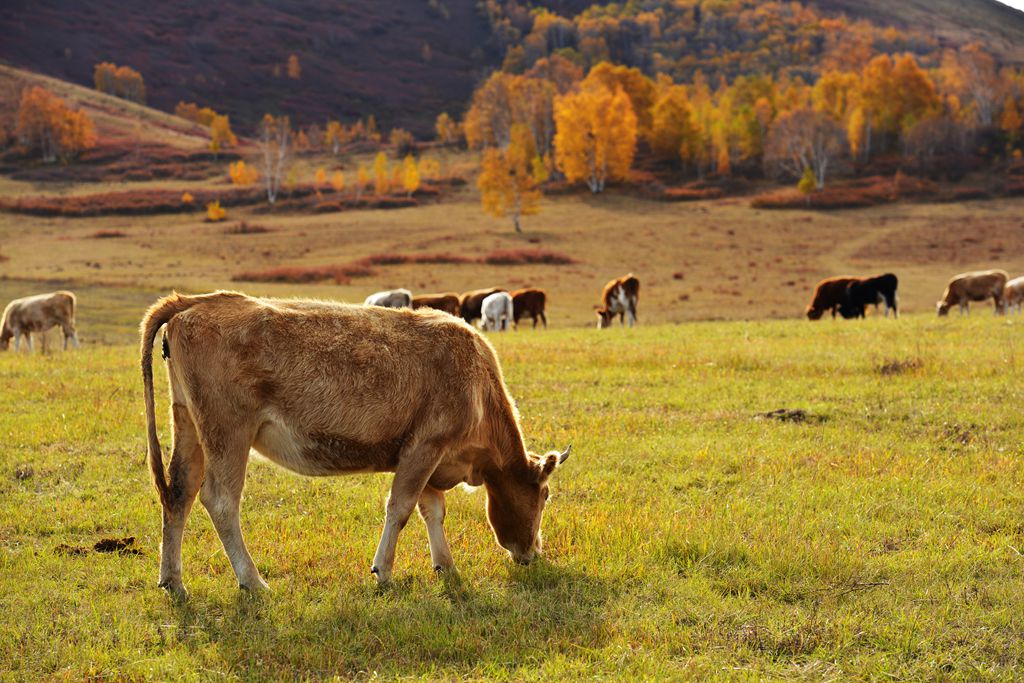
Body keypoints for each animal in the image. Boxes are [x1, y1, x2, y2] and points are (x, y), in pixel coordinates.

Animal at [138, 290, 569, 593]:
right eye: (545, 496)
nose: (534, 553)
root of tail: (197, 301)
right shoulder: (426, 446)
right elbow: (401, 507)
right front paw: (384, 571)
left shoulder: (429, 456)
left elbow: (432, 511)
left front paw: (445, 565)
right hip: (228, 431)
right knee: (221, 500)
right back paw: (253, 581)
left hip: (188, 425)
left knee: (179, 494)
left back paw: (173, 581)